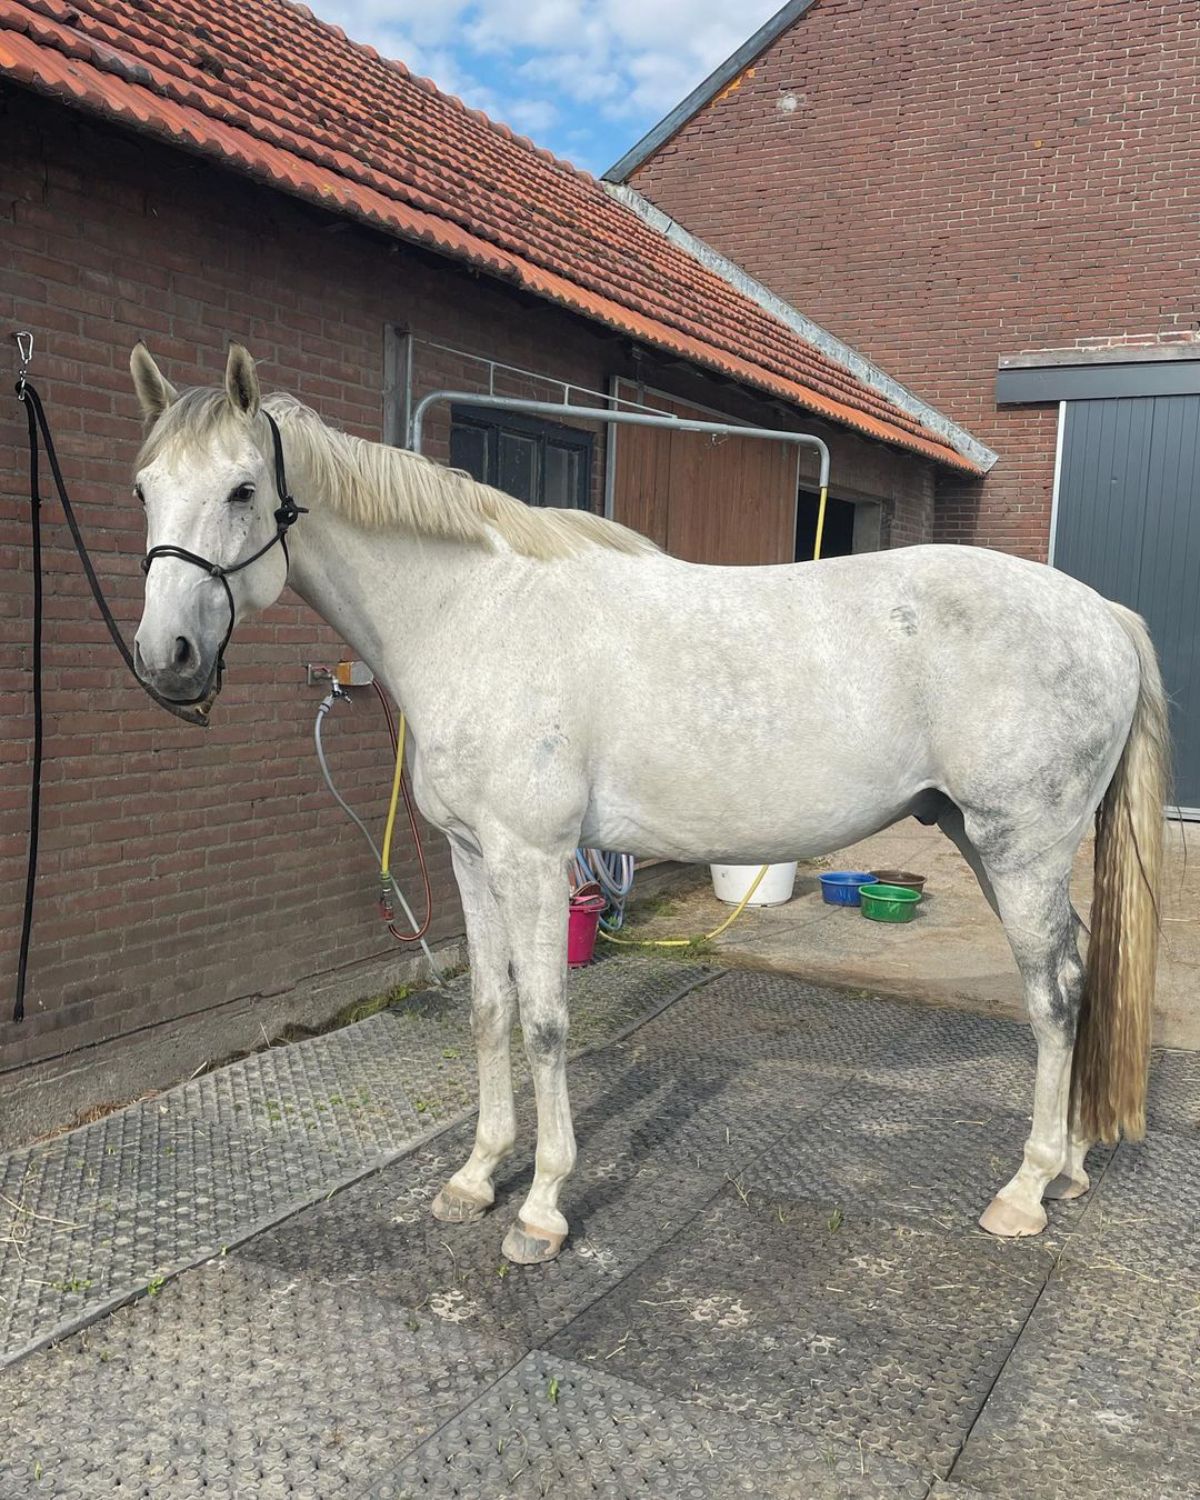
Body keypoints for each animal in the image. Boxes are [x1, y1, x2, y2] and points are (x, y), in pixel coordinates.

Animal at [129, 343, 1164, 1266]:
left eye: (242, 490)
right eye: (144, 489)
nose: (165, 658)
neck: (474, 615)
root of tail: (1105, 615)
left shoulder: (533, 856)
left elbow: (546, 1020)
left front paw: (540, 1209)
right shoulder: (472, 856)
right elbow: (490, 1011)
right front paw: (474, 1179)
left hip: (1020, 846)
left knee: (1053, 995)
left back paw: (1024, 1190)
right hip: (988, 843)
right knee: (1079, 972)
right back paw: (1069, 1169)